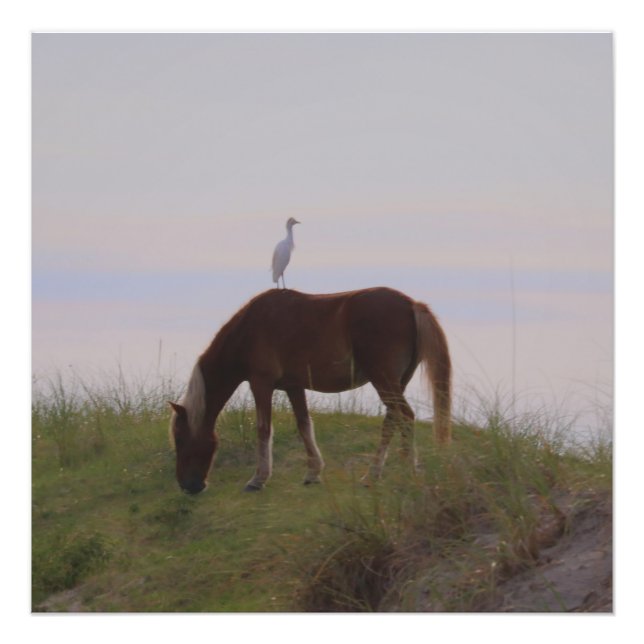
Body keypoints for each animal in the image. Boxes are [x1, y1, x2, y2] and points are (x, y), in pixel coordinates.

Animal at [169, 287, 452, 494]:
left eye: (180, 438)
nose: (187, 485)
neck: (249, 328)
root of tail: (411, 304)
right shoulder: (294, 387)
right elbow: (304, 424)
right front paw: (313, 472)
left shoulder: (261, 384)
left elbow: (263, 429)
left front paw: (258, 479)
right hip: (395, 383)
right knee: (392, 421)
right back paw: (372, 475)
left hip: (384, 381)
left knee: (406, 417)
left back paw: (406, 470)